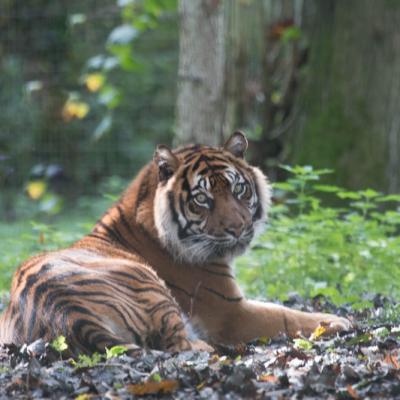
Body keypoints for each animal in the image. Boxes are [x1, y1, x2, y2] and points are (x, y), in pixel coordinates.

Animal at [0, 132, 350, 356]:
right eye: (202, 199)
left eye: (238, 190)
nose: (238, 229)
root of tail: (69, 314)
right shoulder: (230, 310)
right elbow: (286, 315)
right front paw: (339, 321)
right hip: (149, 286)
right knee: (178, 346)